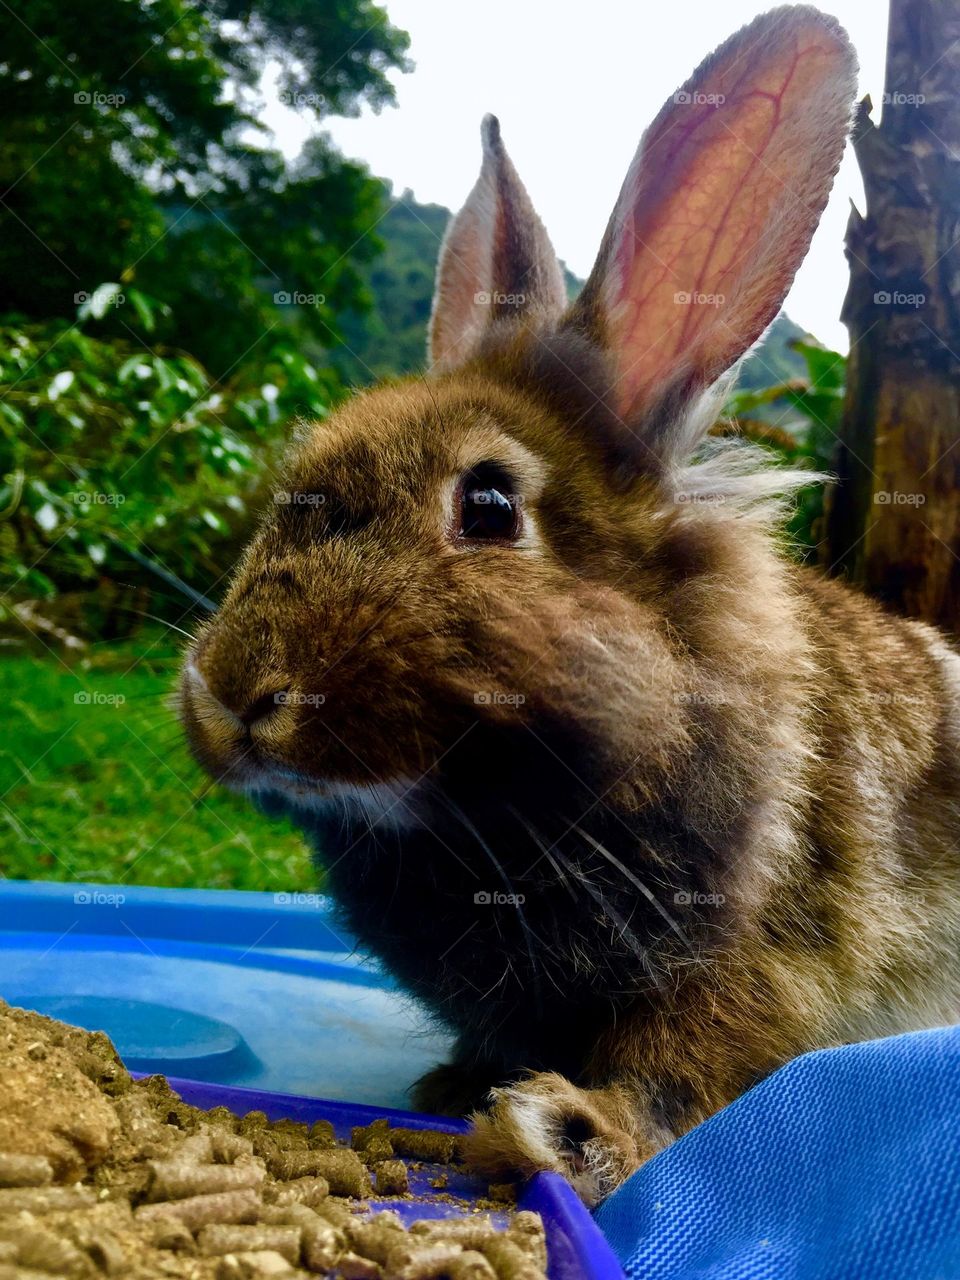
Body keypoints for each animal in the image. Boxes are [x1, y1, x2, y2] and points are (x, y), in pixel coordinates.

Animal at [179, 5, 960, 1208]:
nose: (234, 696)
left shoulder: (756, 957)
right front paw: (459, 1083)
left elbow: (687, 1063)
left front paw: (560, 1128)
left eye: (491, 504)